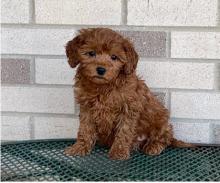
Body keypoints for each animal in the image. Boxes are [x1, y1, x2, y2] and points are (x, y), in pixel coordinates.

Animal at [63, 27, 191, 159]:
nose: (101, 70)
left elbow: (124, 131)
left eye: (114, 57)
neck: (104, 87)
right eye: (91, 53)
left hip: (161, 120)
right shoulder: (86, 108)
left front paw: (118, 152)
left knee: (164, 137)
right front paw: (79, 148)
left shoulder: (129, 108)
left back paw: (153, 146)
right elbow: (85, 129)